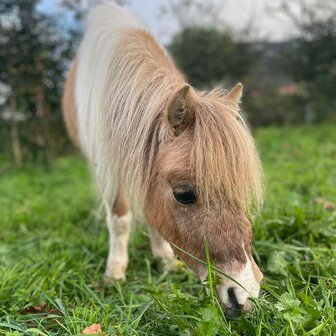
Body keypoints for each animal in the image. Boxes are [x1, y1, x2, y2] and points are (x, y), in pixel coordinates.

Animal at [62, 0, 262, 318]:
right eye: (184, 194)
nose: (244, 296)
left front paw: (165, 259)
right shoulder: (108, 167)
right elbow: (119, 218)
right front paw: (115, 271)